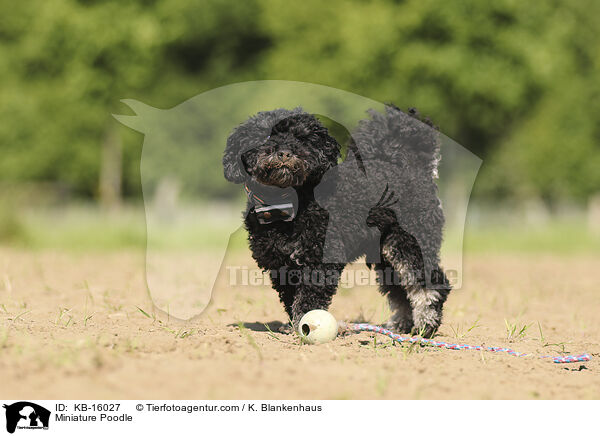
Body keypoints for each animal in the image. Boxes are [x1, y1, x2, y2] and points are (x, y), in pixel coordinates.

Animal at [224, 105, 450, 338]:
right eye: (266, 136)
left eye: (301, 138)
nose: (285, 153)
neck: (288, 204)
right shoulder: (281, 266)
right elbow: (290, 298)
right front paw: (292, 326)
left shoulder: (320, 258)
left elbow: (308, 300)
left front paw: (304, 327)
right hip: (386, 253)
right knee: (399, 290)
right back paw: (400, 326)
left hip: (410, 242)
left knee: (431, 285)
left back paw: (425, 326)